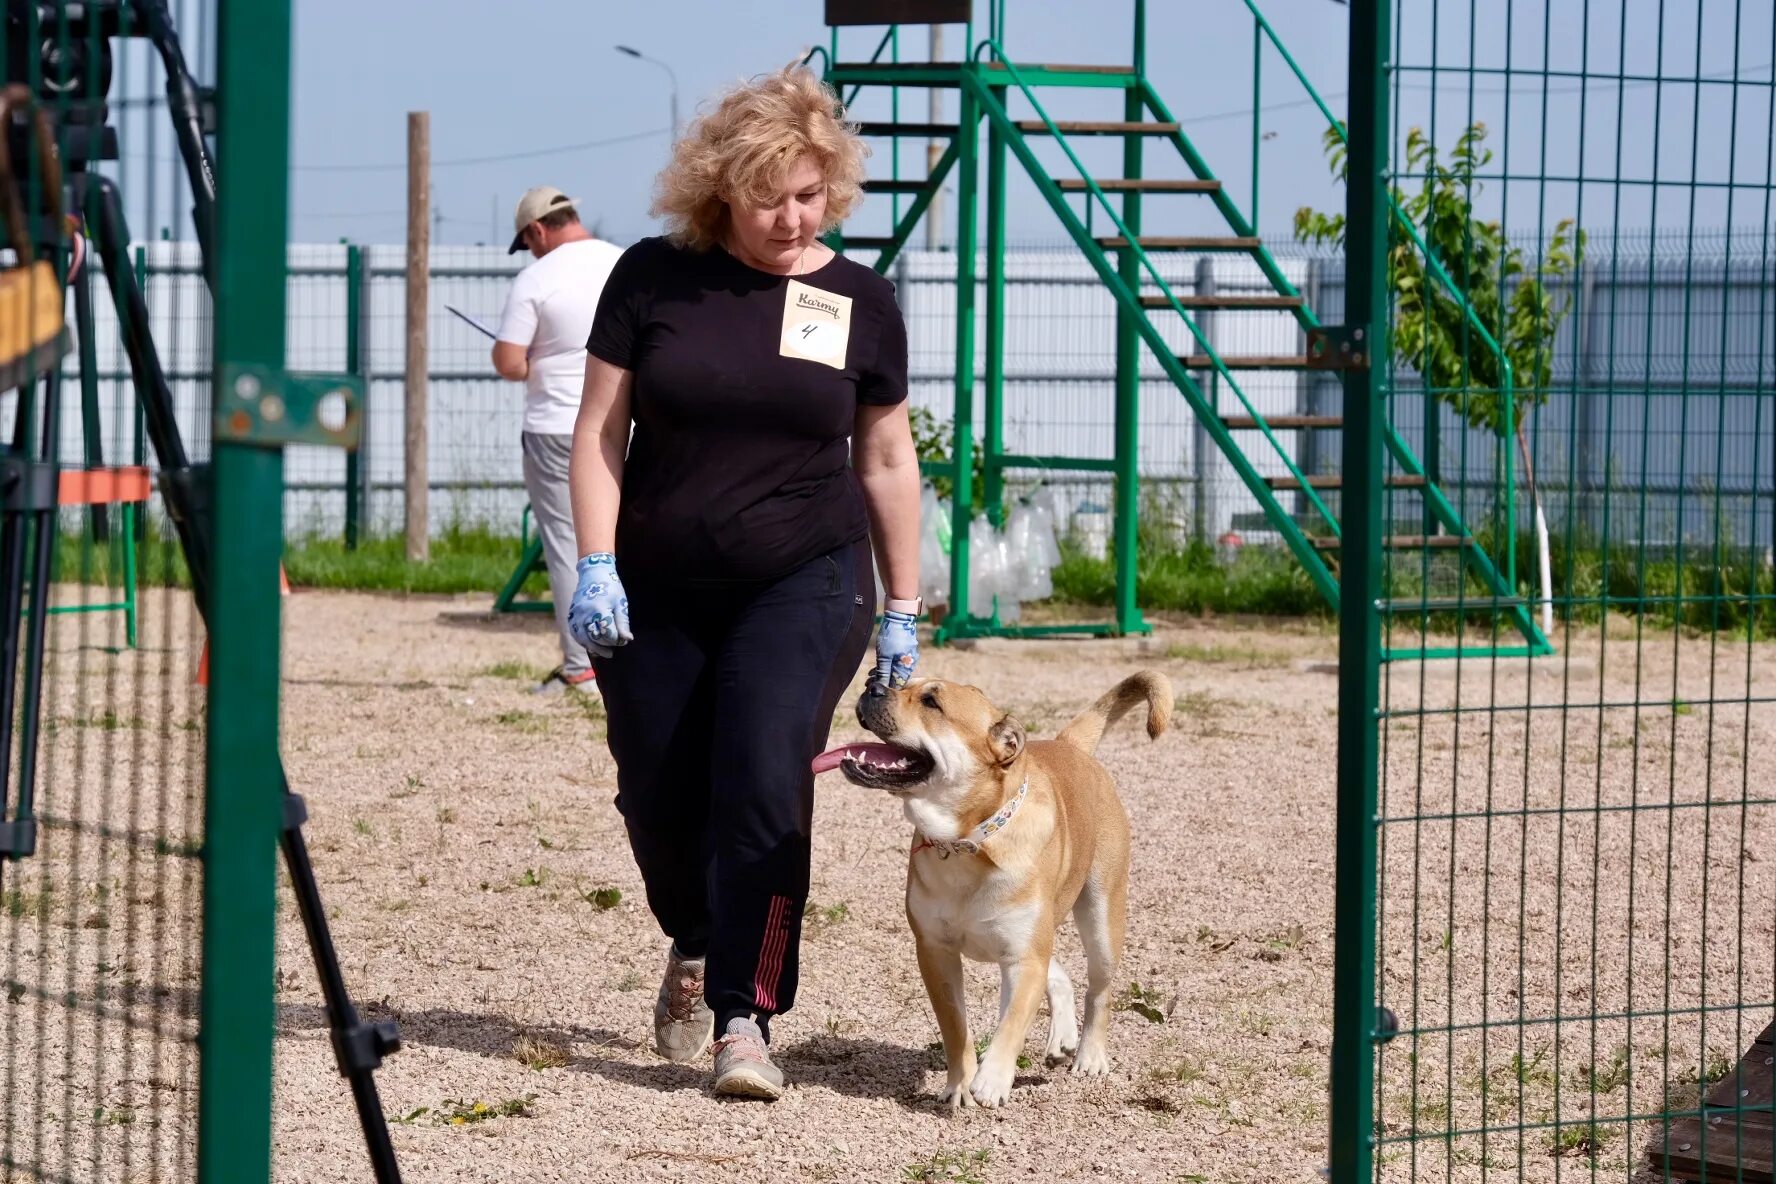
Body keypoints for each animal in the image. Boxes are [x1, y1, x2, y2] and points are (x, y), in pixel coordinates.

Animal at [813, 674, 1172, 1114]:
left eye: (932, 702)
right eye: (906, 682)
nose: (873, 683)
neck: (968, 843)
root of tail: (1069, 744)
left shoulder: (1024, 959)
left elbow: (1013, 1023)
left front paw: (992, 1080)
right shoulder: (936, 953)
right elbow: (956, 1029)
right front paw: (961, 1084)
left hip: (1101, 920)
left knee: (1099, 991)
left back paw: (1089, 1055)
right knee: (1057, 974)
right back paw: (1060, 1039)